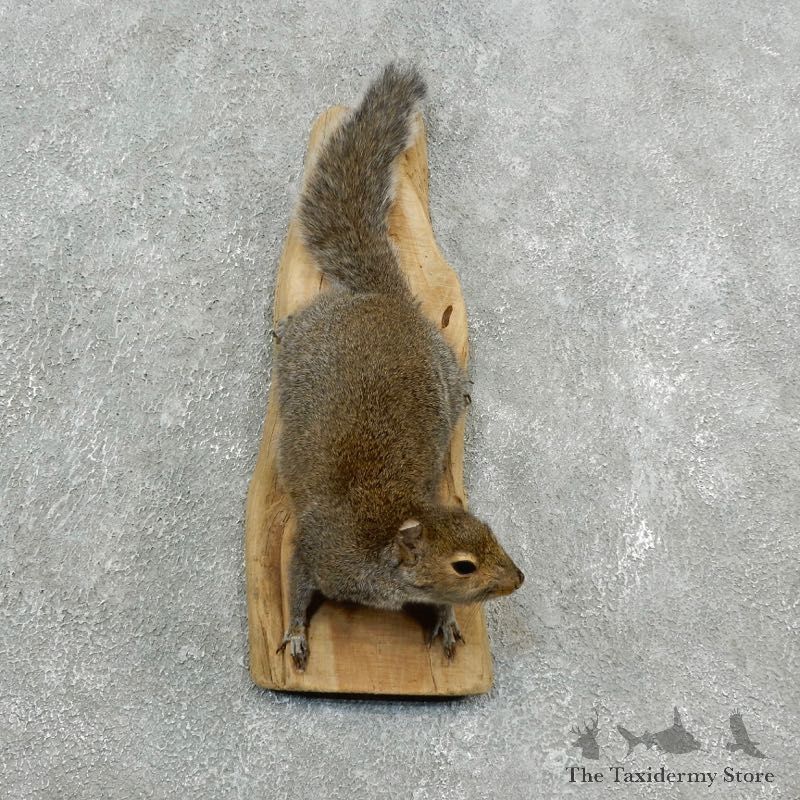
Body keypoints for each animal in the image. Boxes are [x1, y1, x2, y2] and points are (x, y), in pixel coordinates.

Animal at [274, 63, 524, 671]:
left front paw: (447, 621)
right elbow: (295, 581)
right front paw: (296, 633)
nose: (518, 578)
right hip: (310, 338)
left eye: (489, 530)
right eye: (463, 566)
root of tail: (387, 301)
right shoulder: (318, 549)